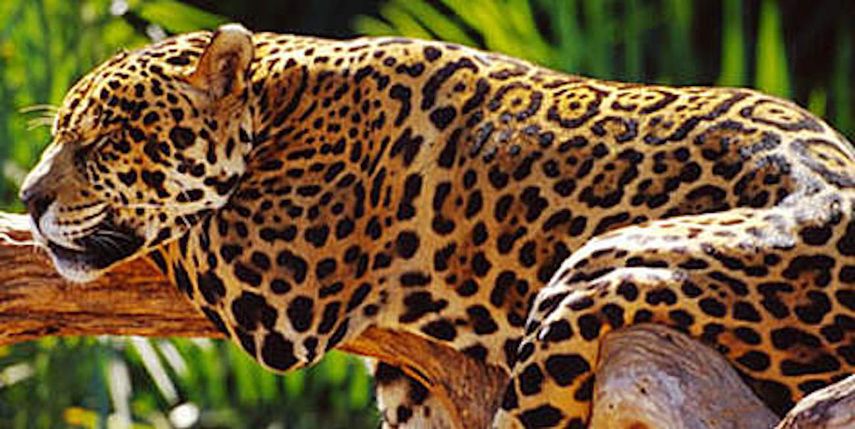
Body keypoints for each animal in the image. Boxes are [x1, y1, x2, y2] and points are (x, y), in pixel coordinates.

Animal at [19, 24, 854, 428]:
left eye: (104, 142)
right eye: (60, 132)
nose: (26, 197)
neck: (278, 94)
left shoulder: (279, 287)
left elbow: (177, 226)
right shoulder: (411, 388)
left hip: (600, 276)